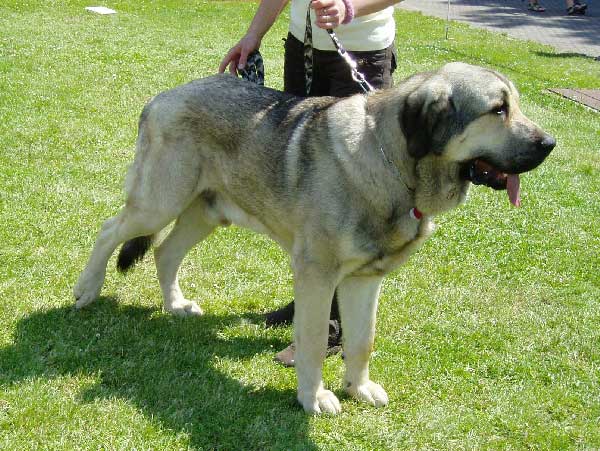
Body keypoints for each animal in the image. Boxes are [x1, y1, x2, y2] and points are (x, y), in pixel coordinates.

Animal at [75, 61, 556, 414]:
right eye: (498, 109)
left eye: (514, 105)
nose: (550, 143)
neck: (394, 165)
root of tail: (162, 97)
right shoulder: (317, 276)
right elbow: (309, 342)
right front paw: (313, 397)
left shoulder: (364, 280)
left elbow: (362, 340)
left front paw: (357, 387)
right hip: (160, 202)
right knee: (109, 230)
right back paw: (86, 291)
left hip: (206, 213)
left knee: (164, 252)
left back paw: (174, 305)